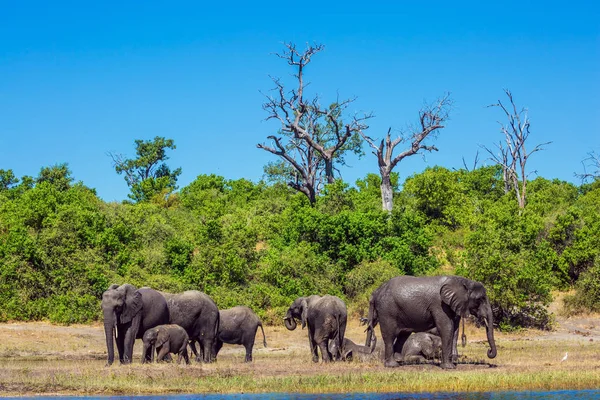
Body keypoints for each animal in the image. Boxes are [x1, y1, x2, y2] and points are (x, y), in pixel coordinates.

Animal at [366, 276, 496, 368]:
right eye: (480, 299)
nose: (489, 352)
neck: (462, 281)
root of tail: (375, 292)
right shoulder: (439, 305)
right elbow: (447, 328)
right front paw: (449, 367)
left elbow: (454, 329)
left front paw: (452, 364)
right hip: (387, 310)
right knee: (389, 335)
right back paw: (393, 365)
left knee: (403, 334)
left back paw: (400, 361)